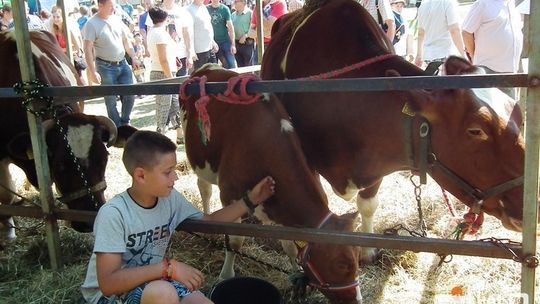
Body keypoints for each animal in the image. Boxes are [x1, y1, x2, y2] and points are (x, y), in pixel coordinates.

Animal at [181, 65, 362, 304]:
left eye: (358, 257)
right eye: (341, 264)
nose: (357, 300)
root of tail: (207, 67)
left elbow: (291, 247)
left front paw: (295, 277)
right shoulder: (229, 193)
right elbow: (235, 241)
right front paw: (225, 275)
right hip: (200, 161)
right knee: (205, 189)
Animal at [262, 0, 532, 262]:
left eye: (520, 117)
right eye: (476, 130)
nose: (532, 204)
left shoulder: (377, 160)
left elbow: (368, 204)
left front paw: (367, 251)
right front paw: (291, 249)